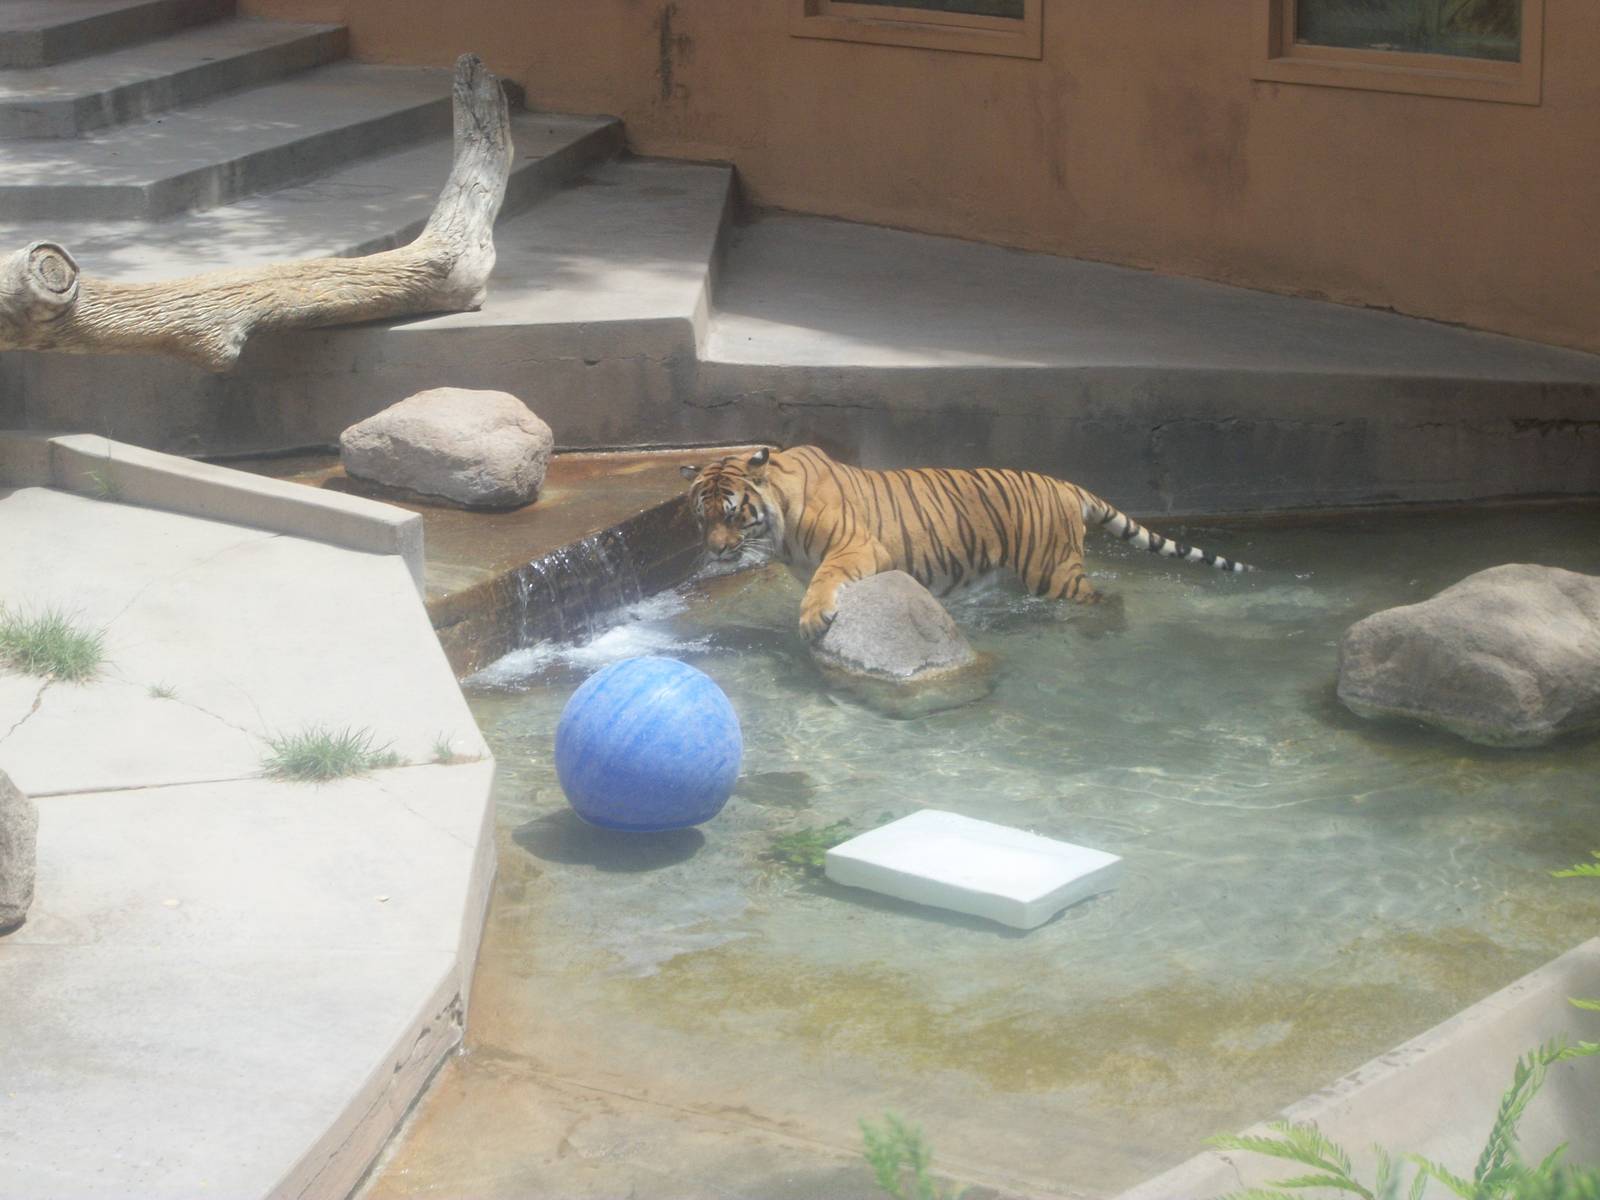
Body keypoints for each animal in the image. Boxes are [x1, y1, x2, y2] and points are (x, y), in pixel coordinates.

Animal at [681, 445, 1252, 640]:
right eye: (700, 517)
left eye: (732, 514)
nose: (713, 550)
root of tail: (1068, 485)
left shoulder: (858, 548)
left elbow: (825, 581)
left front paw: (812, 618)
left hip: (1055, 574)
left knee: (1106, 600)